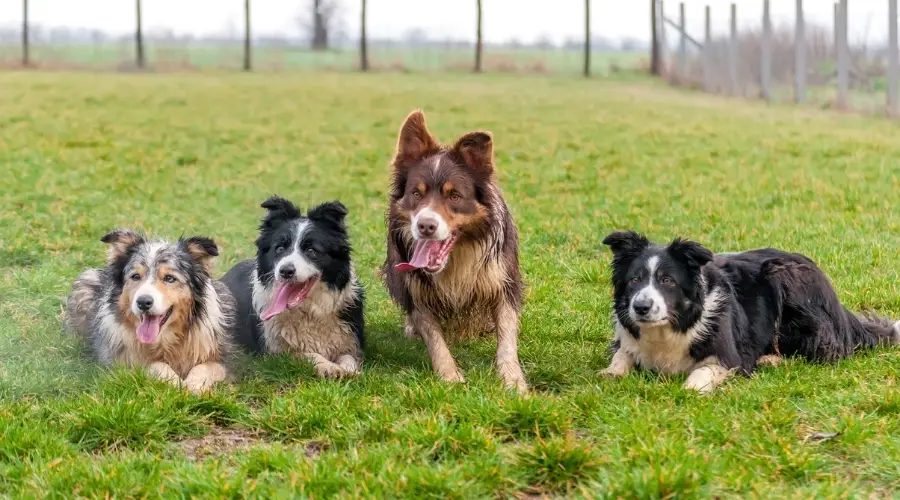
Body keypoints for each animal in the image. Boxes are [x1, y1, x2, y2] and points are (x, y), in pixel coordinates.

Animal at [222, 195, 366, 378]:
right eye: (279, 248)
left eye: (311, 250)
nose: (285, 271)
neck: (309, 313)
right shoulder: (275, 353)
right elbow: (308, 354)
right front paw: (330, 367)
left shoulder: (350, 340)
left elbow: (348, 357)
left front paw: (350, 371)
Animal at [596, 232, 900, 392]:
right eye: (635, 279)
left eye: (667, 280)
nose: (641, 307)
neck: (669, 327)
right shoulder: (627, 338)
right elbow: (622, 354)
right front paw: (609, 373)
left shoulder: (730, 358)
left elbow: (702, 373)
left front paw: (690, 389)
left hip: (785, 276)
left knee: (826, 351)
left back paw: (772, 359)